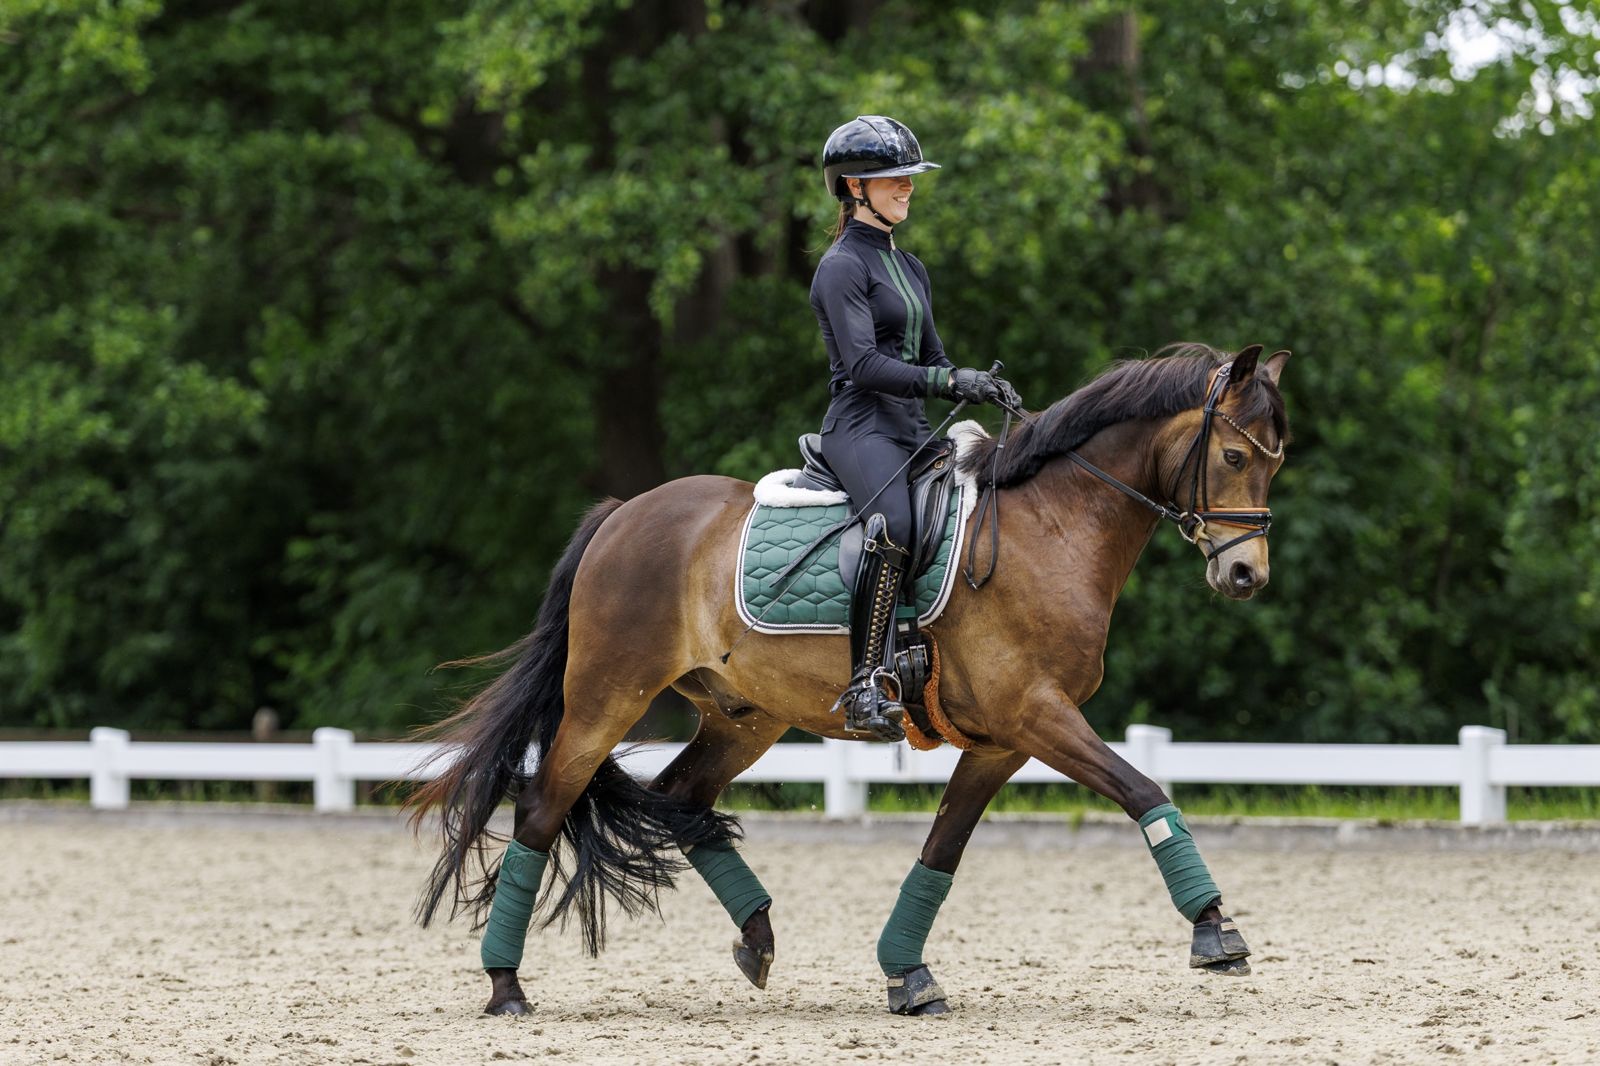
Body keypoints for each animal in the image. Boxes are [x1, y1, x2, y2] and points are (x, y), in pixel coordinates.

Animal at [405, 341, 1291, 1016]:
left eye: (1274, 466)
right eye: (1234, 456)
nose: (1247, 575)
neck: (1051, 527)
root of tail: (622, 514)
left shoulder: (1003, 740)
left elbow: (942, 849)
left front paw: (908, 975)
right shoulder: (1037, 715)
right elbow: (1144, 790)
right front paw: (1216, 930)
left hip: (744, 716)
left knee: (682, 798)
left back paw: (758, 940)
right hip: (605, 697)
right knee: (541, 809)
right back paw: (505, 986)